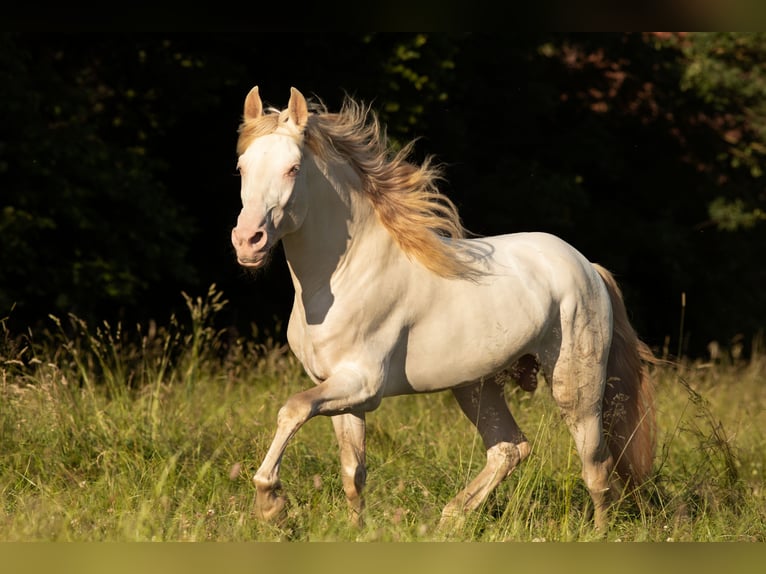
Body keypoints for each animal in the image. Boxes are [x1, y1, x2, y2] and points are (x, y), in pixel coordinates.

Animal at [231, 85, 656, 532]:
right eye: (242, 168)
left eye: (293, 168)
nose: (248, 241)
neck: (341, 277)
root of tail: (588, 267)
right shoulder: (339, 390)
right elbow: (352, 471)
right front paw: (354, 530)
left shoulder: (361, 384)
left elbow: (291, 410)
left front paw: (271, 504)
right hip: (476, 386)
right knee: (510, 448)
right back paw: (452, 518)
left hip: (576, 389)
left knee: (596, 466)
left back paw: (595, 532)